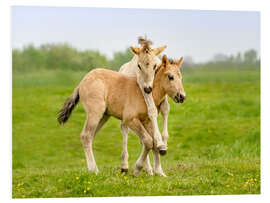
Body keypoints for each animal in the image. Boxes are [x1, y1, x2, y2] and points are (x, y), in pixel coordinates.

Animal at [57, 55, 186, 176]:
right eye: (171, 77)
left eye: (181, 77)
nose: (182, 96)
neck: (146, 93)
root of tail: (82, 82)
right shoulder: (130, 119)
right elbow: (148, 141)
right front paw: (137, 169)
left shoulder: (147, 121)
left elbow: (154, 142)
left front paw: (159, 172)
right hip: (95, 113)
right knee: (86, 136)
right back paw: (94, 170)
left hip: (103, 116)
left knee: (89, 136)